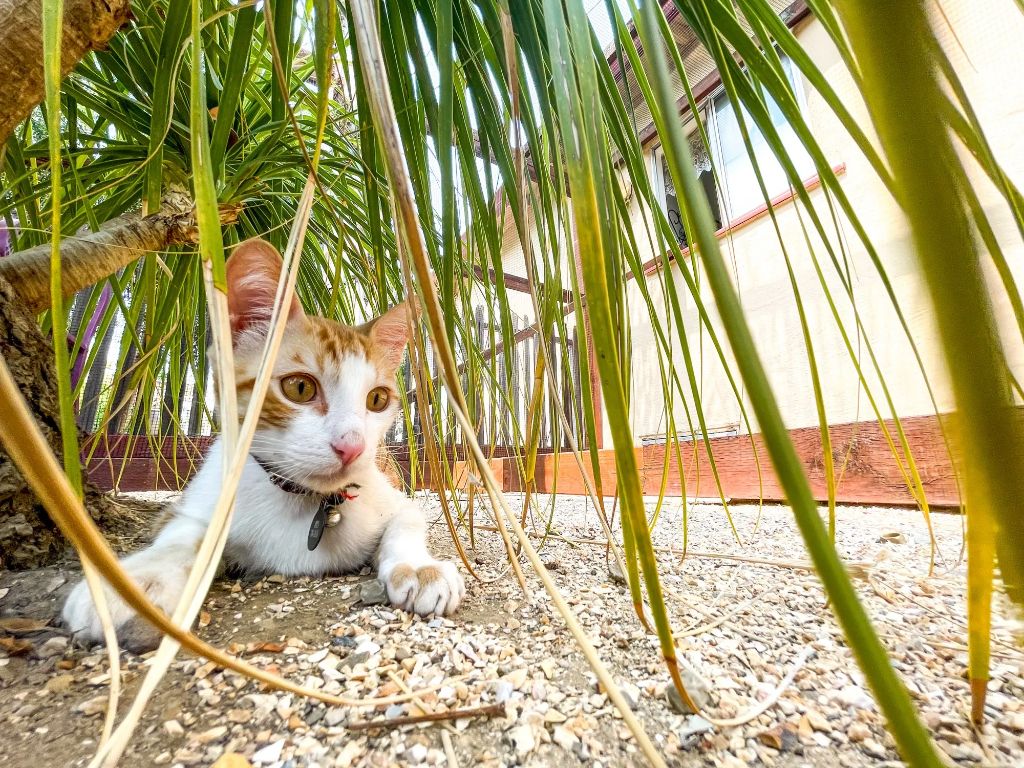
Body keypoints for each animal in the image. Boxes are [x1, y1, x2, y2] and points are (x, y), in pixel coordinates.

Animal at [61, 239, 466, 651]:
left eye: (378, 400)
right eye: (299, 388)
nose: (351, 447)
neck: (303, 499)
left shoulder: (390, 496)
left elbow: (407, 521)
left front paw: (419, 567)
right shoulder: (193, 502)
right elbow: (181, 537)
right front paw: (135, 582)